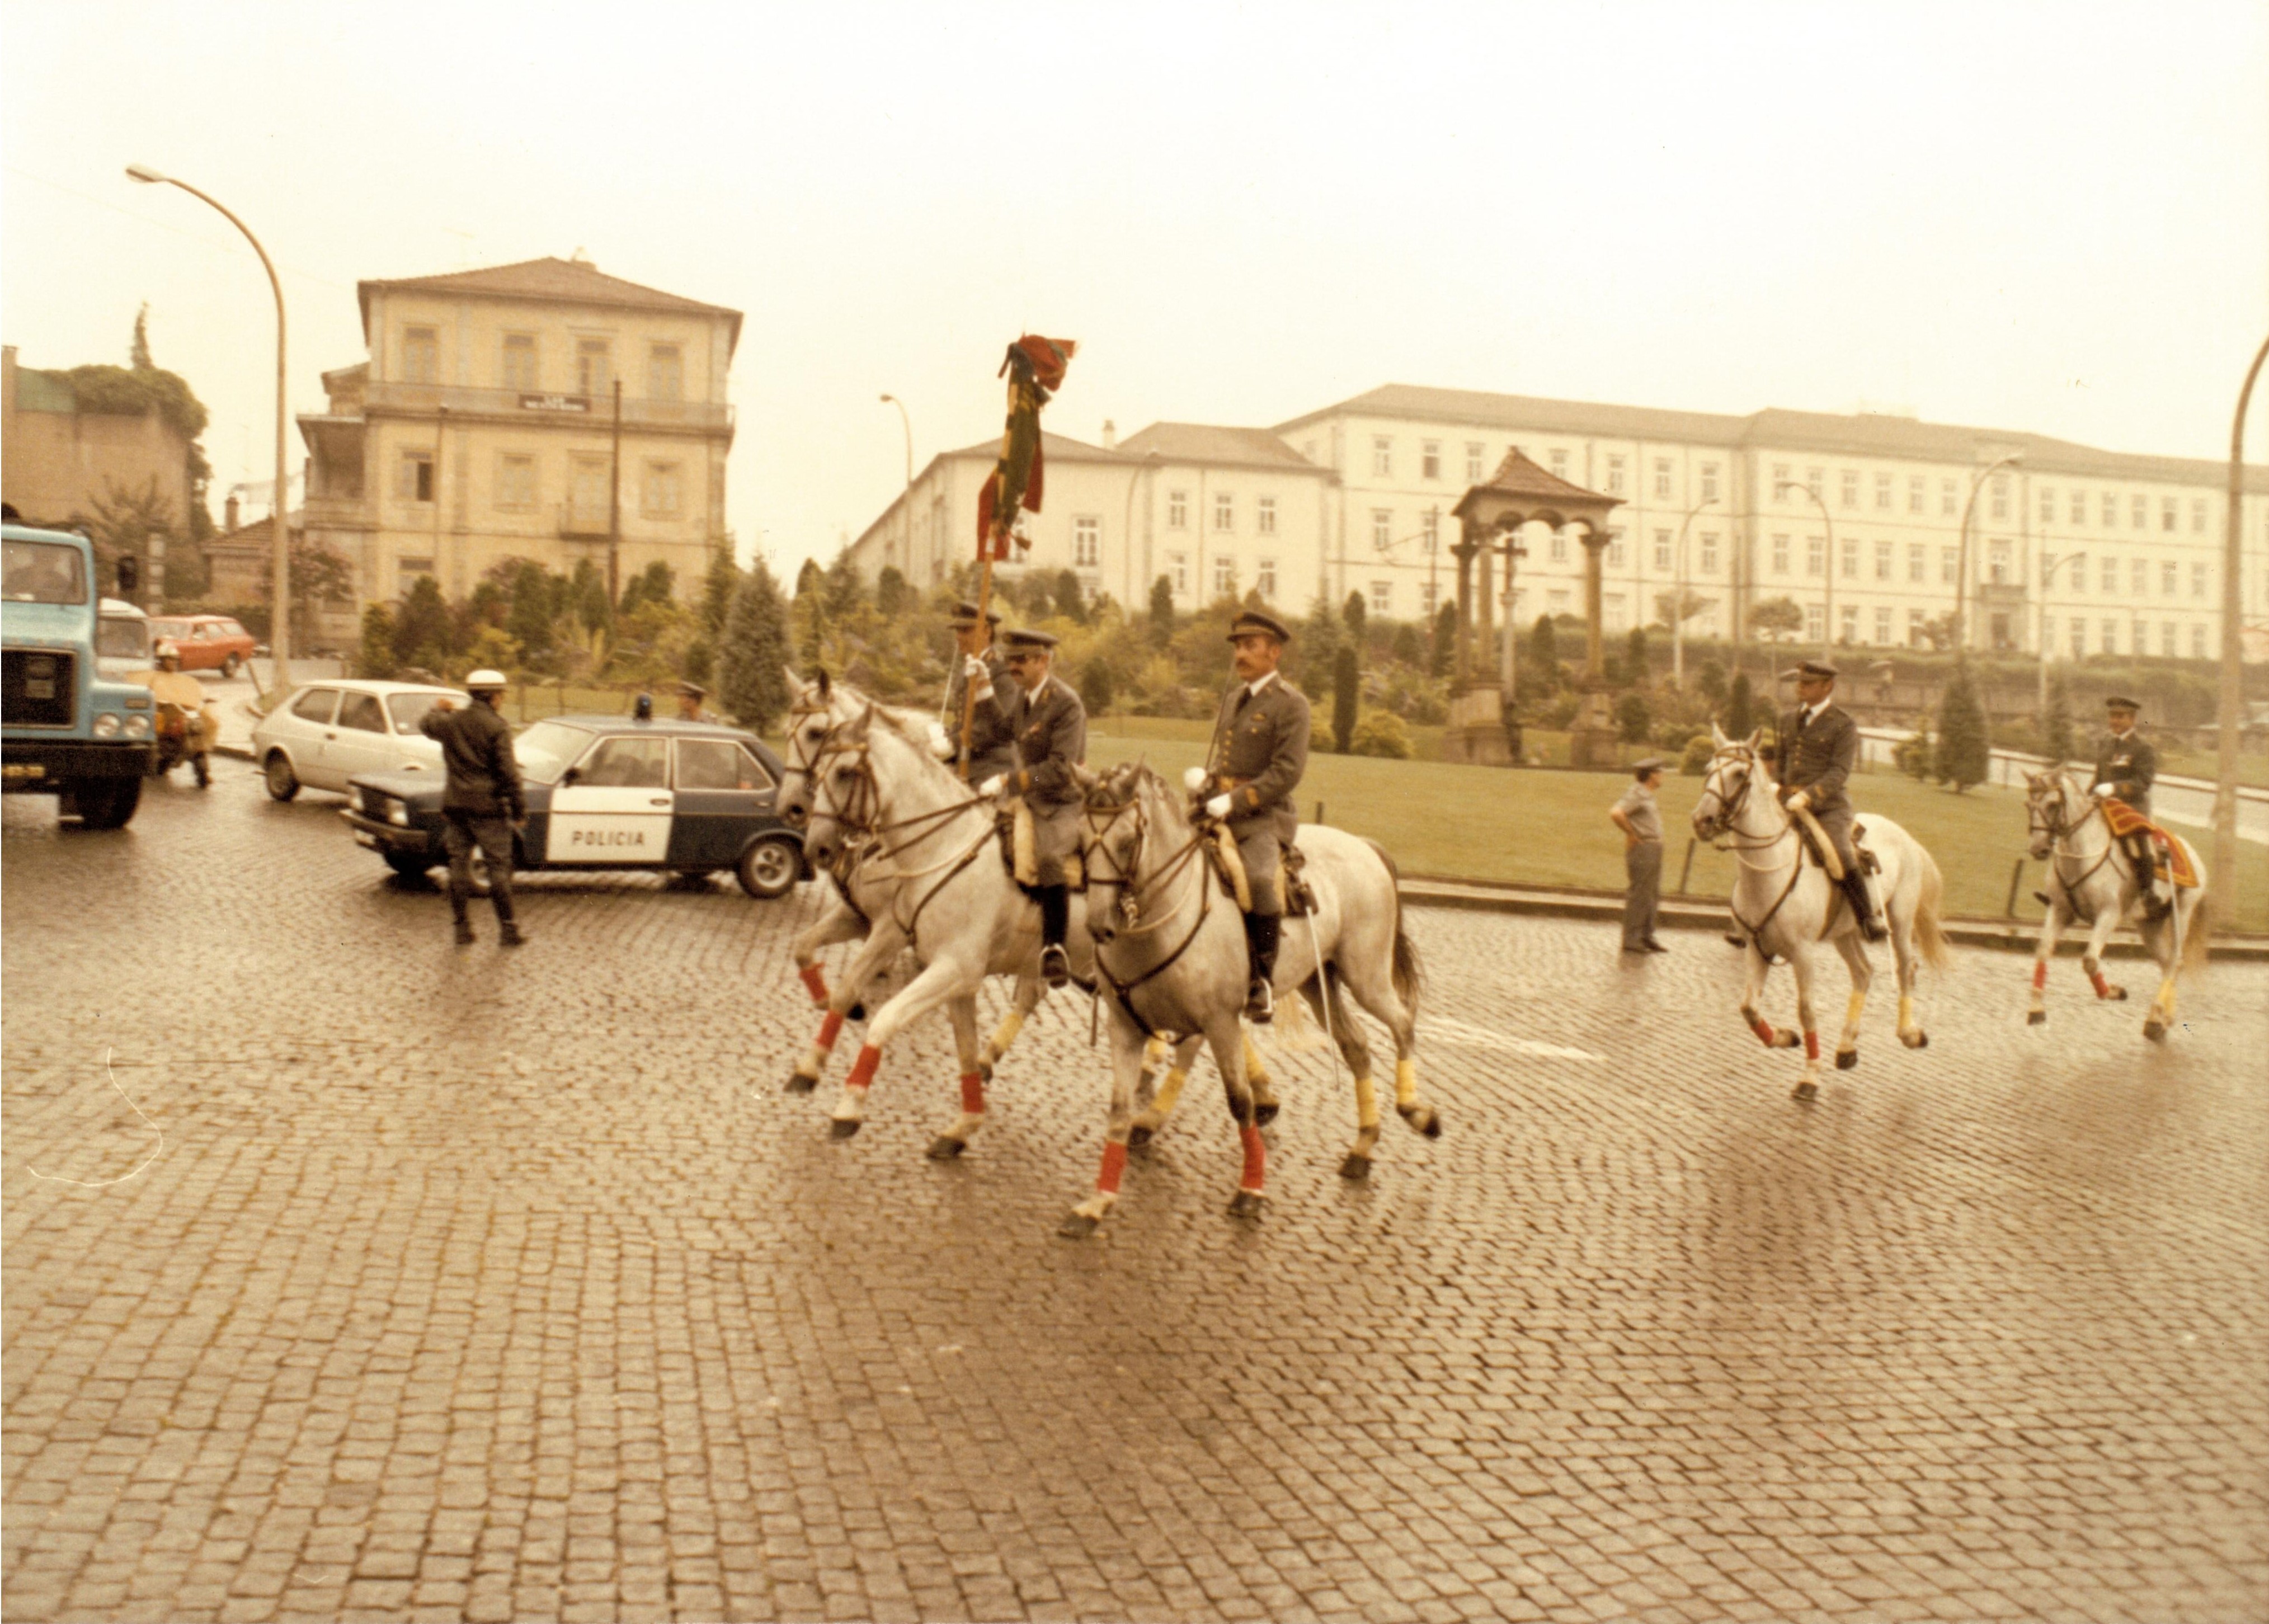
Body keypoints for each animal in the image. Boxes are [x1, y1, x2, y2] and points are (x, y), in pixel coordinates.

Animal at [1066, 766, 1434, 1234]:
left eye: (1128, 842)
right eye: (1080, 839)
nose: (1099, 926)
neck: (1160, 921)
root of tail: (1364, 844)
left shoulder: (1219, 1021)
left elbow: (1239, 1101)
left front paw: (1251, 1189)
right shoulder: (1126, 1027)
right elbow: (1118, 1107)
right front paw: (1097, 1202)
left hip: (1365, 975)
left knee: (1403, 1022)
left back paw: (1416, 1111)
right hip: (1318, 981)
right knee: (1357, 1044)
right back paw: (1363, 1146)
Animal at [1688, 730, 1951, 1098]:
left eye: (1740, 774)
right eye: (1708, 769)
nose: (1702, 821)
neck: (1769, 870)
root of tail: (1907, 837)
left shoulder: (1803, 953)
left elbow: (1807, 1010)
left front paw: (1810, 1075)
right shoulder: (1757, 948)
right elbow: (1749, 1008)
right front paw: (1784, 1038)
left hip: (1899, 921)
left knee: (1904, 969)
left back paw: (1910, 1033)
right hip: (1846, 933)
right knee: (1863, 972)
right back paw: (1846, 1048)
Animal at [2033, 771, 2205, 1048]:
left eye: (2052, 805)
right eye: (2029, 805)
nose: (2038, 849)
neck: (2081, 853)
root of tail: (2191, 852)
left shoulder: (2109, 914)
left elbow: (2090, 961)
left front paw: (2113, 992)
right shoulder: (2060, 910)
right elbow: (2043, 951)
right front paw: (2036, 1010)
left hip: (2183, 913)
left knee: (2175, 962)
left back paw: (2156, 1019)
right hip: (2150, 925)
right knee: (2167, 963)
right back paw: (2161, 1020)